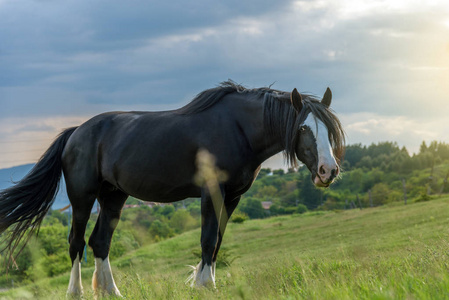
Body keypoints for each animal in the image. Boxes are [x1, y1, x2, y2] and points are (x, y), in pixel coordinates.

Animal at [0, 81, 344, 296]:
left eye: (329, 129)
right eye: (303, 128)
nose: (328, 171)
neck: (238, 129)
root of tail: (75, 133)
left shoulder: (232, 197)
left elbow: (217, 242)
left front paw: (207, 283)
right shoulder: (211, 191)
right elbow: (207, 240)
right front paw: (204, 286)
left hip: (114, 197)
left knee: (101, 242)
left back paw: (113, 292)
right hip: (82, 198)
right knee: (76, 243)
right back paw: (76, 292)